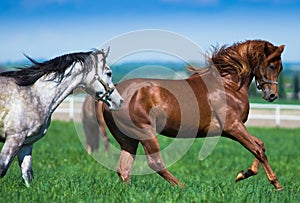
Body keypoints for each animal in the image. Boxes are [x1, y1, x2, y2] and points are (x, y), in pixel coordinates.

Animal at [0, 48, 123, 186]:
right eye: (109, 73)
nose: (120, 101)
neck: (36, 94)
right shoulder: (14, 138)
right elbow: (2, 168)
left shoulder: (26, 143)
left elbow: (27, 175)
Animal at [101, 40, 284, 190]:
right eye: (272, 65)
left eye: (280, 67)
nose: (272, 95)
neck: (228, 86)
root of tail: (112, 95)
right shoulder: (233, 127)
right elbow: (257, 150)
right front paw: (276, 184)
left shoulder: (233, 129)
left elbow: (260, 145)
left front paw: (243, 174)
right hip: (145, 132)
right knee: (155, 163)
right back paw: (182, 187)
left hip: (128, 138)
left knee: (124, 168)